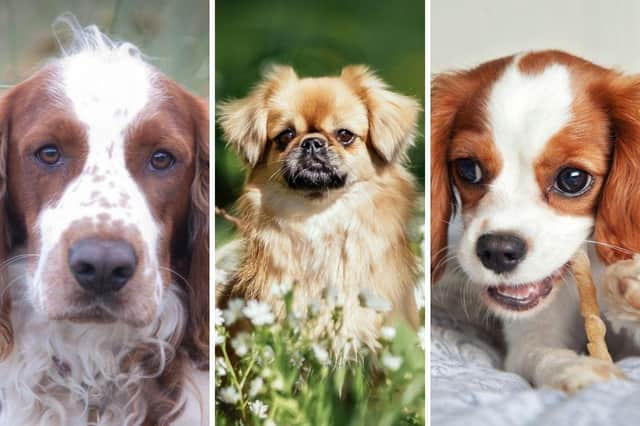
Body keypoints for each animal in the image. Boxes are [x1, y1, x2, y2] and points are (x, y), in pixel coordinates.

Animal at [430, 49, 640, 390]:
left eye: (573, 179)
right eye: (468, 169)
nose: (497, 251)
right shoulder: (531, 335)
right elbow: (545, 355)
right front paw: (579, 369)